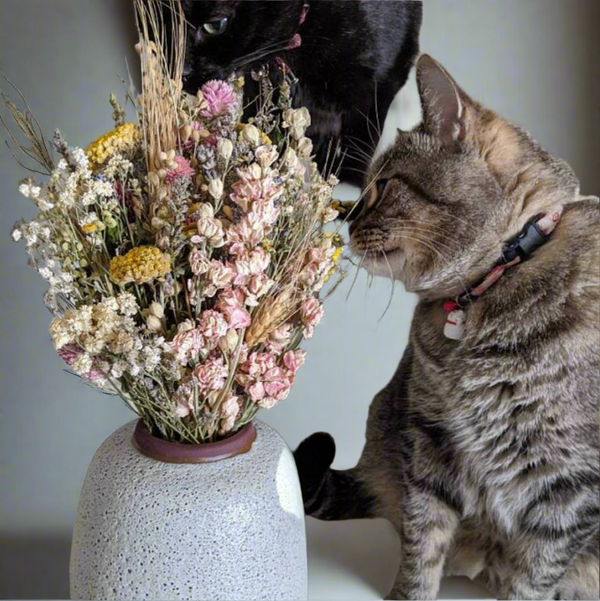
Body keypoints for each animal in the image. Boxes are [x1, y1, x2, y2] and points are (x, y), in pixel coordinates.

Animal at [296, 54, 600, 596]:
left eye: (384, 184)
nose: (346, 220)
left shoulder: (569, 484)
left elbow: (533, 576)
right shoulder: (432, 439)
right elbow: (424, 544)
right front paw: (406, 594)